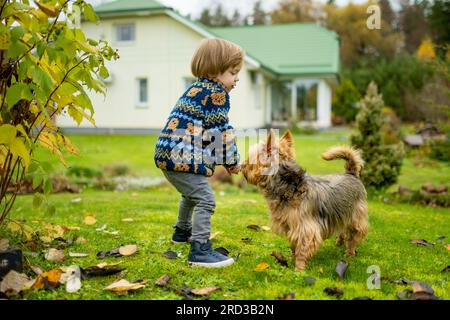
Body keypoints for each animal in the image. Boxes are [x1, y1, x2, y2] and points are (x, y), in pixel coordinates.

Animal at [241, 129, 368, 270]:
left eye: (250, 159)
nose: (241, 166)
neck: (290, 187)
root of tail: (351, 174)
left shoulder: (305, 228)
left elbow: (302, 248)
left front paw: (299, 268)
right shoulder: (290, 225)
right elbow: (293, 245)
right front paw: (292, 258)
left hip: (355, 217)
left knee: (353, 236)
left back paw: (350, 253)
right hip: (341, 213)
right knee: (343, 230)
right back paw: (339, 242)